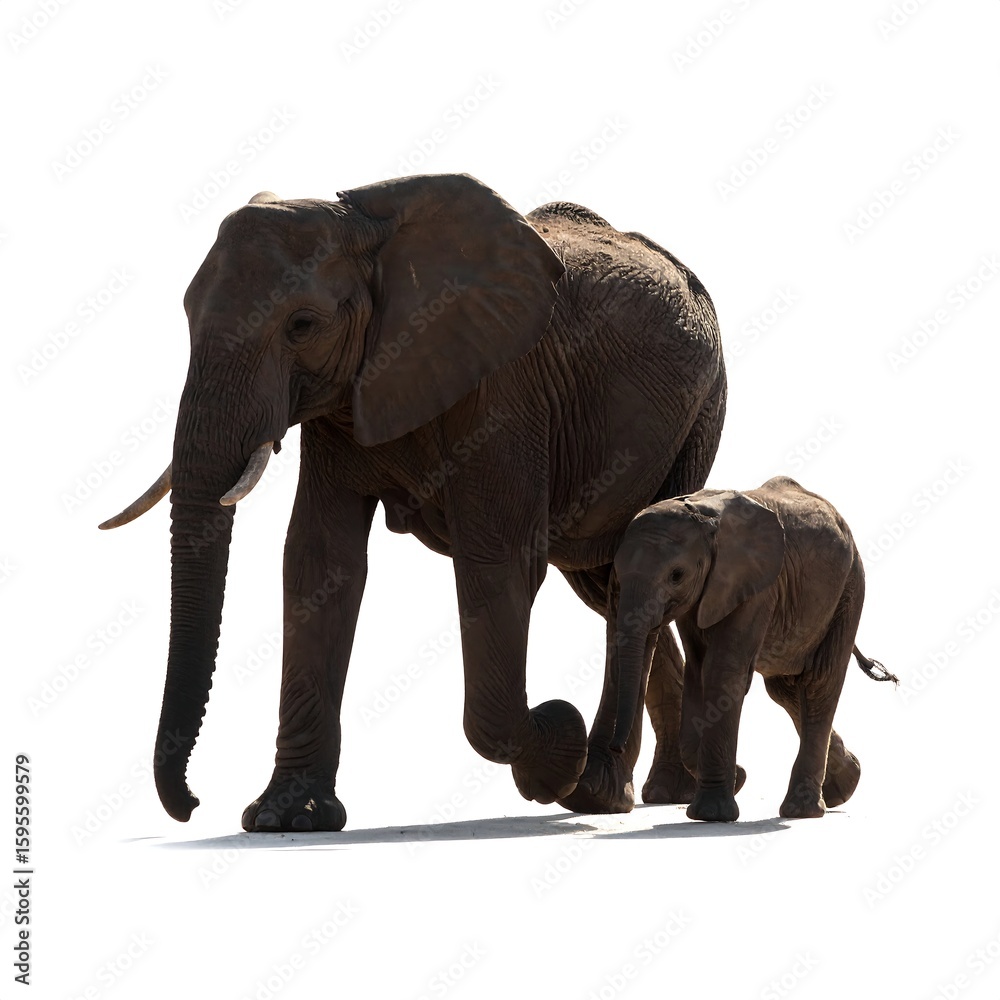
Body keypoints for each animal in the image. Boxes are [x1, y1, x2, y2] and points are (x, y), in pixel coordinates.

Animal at [100, 172, 727, 831]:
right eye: (186, 314)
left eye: (302, 325)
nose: (192, 804)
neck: (367, 227)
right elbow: (320, 563)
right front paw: (287, 818)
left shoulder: (504, 388)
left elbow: (496, 563)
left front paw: (559, 743)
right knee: (611, 585)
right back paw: (651, 791)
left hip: (698, 417)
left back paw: (596, 789)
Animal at [609, 476, 897, 823]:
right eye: (617, 576)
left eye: (676, 575)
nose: (615, 748)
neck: (701, 513)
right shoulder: (704, 595)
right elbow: (698, 671)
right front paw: (737, 778)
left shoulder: (757, 586)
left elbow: (722, 671)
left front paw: (712, 814)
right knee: (785, 690)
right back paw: (843, 787)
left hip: (849, 588)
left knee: (818, 684)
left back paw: (802, 810)